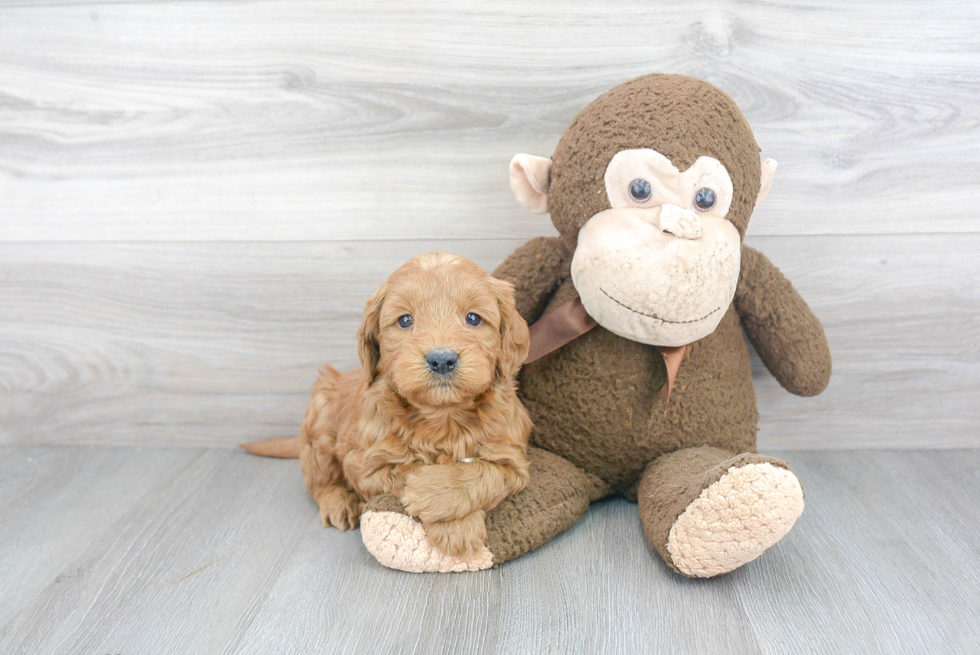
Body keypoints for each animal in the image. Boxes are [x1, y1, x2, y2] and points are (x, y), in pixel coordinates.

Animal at [245, 251, 536, 560]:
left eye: (473, 318)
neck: (443, 417)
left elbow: (487, 472)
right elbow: (405, 471)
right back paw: (339, 502)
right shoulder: (365, 464)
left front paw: (442, 499)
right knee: (320, 482)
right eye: (405, 320)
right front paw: (451, 520)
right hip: (320, 414)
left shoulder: (514, 459)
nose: (441, 359)